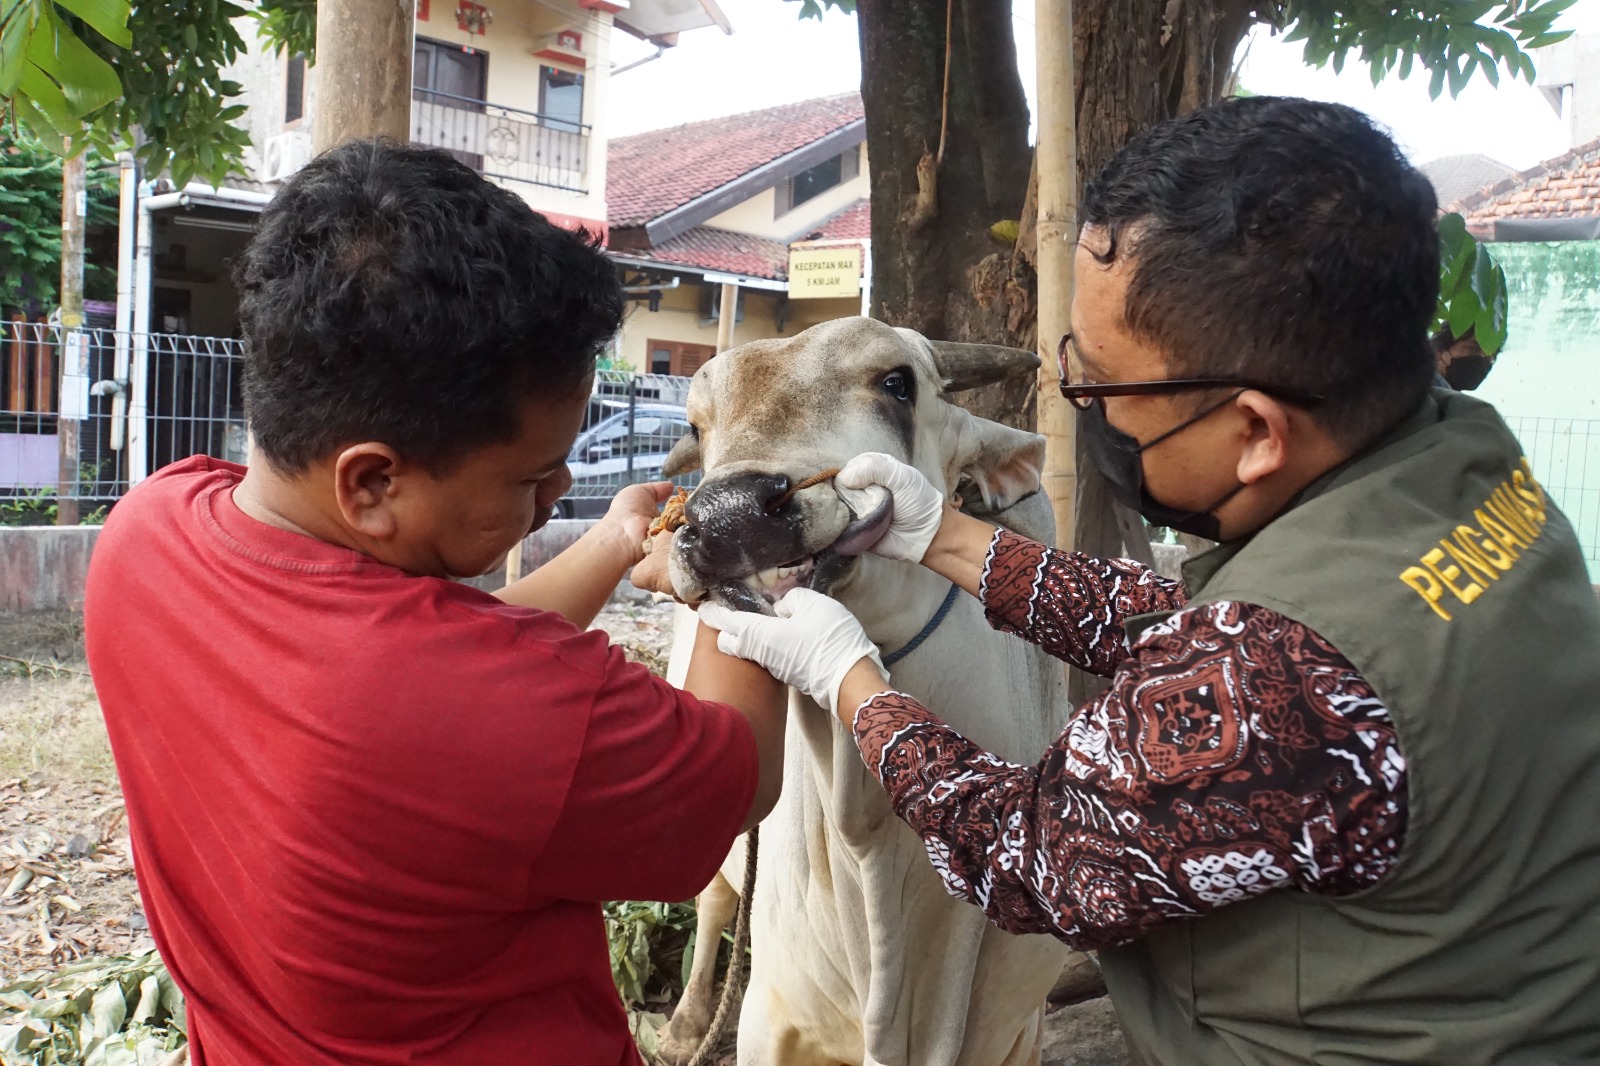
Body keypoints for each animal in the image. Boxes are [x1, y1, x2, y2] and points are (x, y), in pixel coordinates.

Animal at [649, 315, 1075, 1062]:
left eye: (898, 383)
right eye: (698, 426)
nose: (730, 515)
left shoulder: (1019, 1031)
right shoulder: (771, 1017)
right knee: (714, 901)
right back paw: (683, 1028)